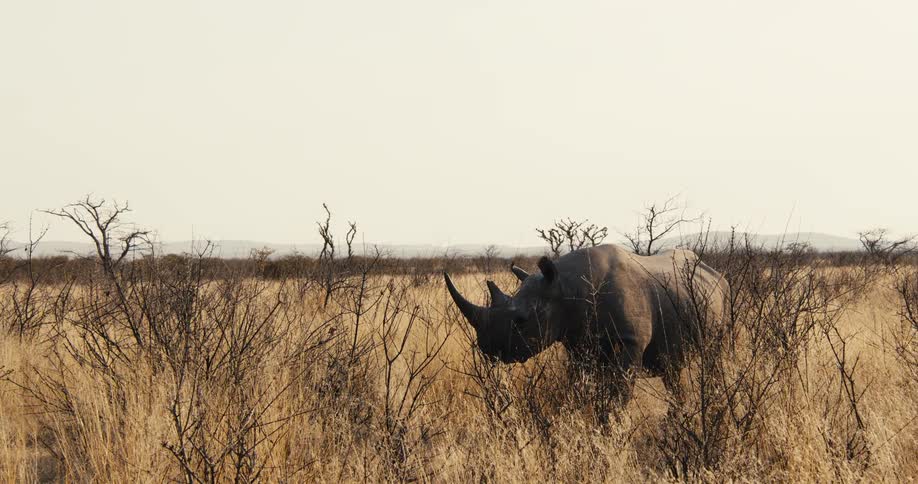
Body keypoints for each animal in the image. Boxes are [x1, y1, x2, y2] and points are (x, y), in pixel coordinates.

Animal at [444, 244, 729, 405]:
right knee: (672, 370)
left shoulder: (630, 341)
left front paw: (613, 427)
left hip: (725, 295)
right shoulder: (578, 341)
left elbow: (619, 393)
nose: (486, 348)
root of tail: (715, 272)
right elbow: (581, 387)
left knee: (715, 356)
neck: (565, 286)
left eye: (521, 321)